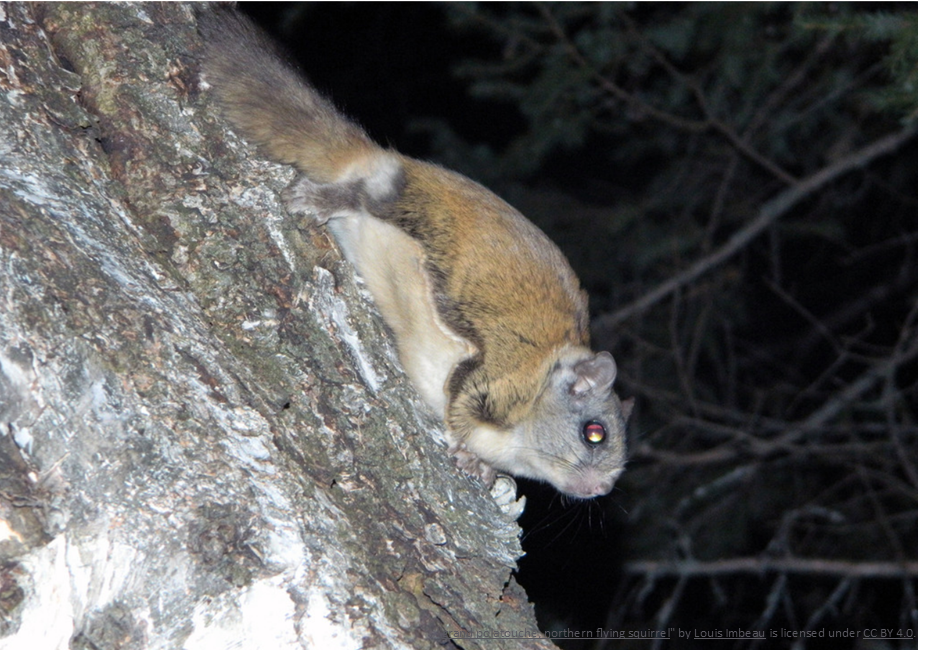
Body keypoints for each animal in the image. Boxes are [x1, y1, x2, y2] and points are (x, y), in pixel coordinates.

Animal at [198, 9, 634, 501]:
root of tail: (385, 161)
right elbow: (459, 404)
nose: (601, 489)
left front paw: (485, 470)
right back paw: (321, 199)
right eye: (595, 433)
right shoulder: (500, 378)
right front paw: (468, 454)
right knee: (361, 196)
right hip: (407, 208)